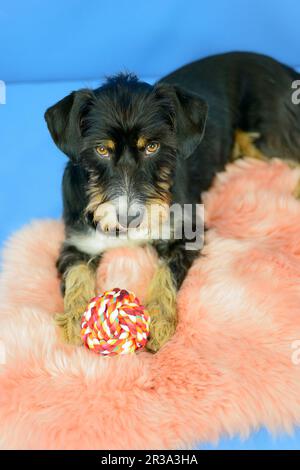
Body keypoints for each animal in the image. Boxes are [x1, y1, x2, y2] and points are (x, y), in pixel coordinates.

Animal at [44, 51, 300, 352]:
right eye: (102, 149)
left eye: (152, 147)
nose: (129, 218)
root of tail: (281, 66)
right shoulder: (76, 243)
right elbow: (76, 277)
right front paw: (74, 318)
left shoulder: (188, 234)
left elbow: (165, 274)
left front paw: (158, 321)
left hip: (265, 134)